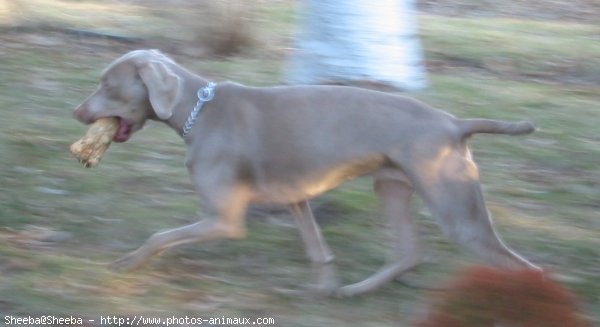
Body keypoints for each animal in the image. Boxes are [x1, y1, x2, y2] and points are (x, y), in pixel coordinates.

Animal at [72, 50, 540, 298]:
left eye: (107, 85)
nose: (76, 112)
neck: (198, 110)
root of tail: (455, 123)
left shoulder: (224, 219)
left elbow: (159, 237)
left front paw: (124, 264)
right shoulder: (295, 196)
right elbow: (318, 249)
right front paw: (324, 286)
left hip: (455, 207)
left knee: (523, 268)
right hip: (391, 185)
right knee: (409, 252)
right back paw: (355, 291)